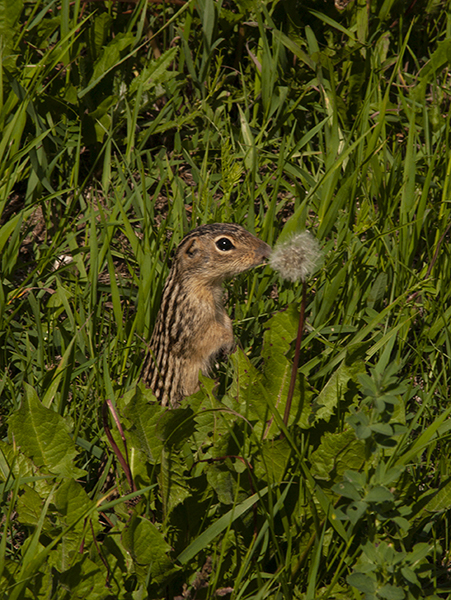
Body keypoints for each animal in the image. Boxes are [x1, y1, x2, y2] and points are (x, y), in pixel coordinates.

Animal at [141, 224, 270, 408]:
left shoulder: (219, 310)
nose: (266, 250)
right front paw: (229, 342)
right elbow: (213, 336)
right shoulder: (194, 324)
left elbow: (226, 322)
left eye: (239, 226)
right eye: (224, 244)